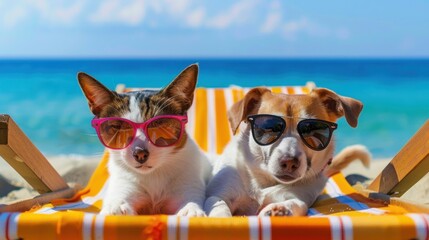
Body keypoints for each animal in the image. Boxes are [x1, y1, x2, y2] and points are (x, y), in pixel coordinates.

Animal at [77, 63, 211, 216]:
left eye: (158, 123)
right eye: (118, 126)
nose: (140, 153)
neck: (153, 176)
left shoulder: (188, 181)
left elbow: (189, 200)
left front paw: (190, 209)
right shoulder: (123, 182)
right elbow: (117, 202)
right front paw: (114, 208)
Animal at [205, 87, 364, 217]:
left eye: (312, 129)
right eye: (268, 126)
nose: (289, 162)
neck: (264, 181)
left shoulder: (297, 196)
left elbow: (296, 204)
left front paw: (281, 210)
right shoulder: (219, 194)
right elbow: (219, 205)